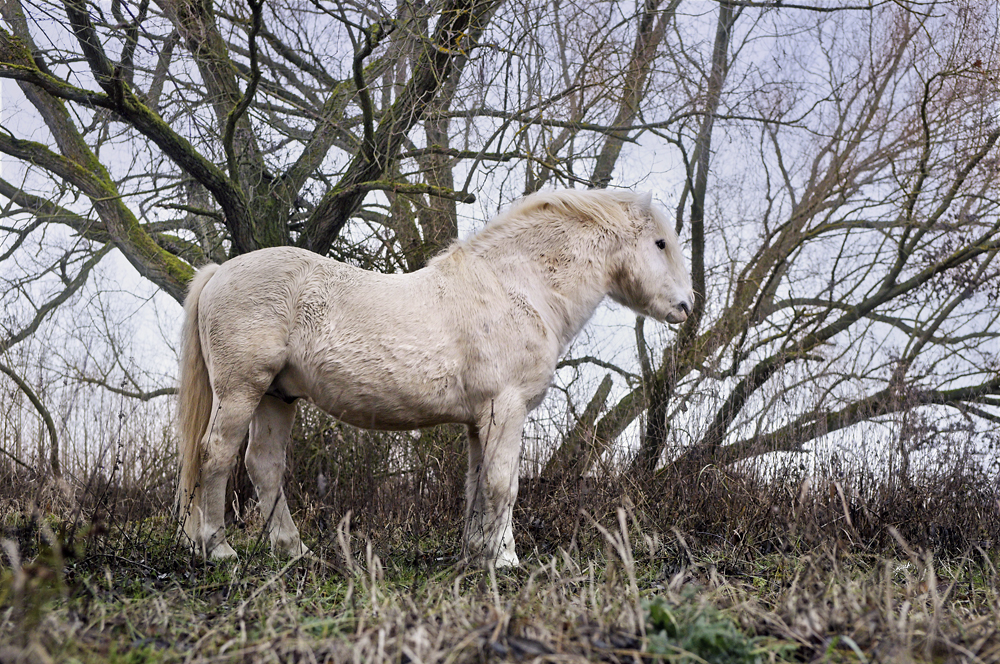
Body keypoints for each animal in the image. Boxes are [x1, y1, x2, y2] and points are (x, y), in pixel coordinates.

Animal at [176, 189, 692, 568]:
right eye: (660, 243)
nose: (687, 306)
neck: (517, 289)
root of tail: (220, 271)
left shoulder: (481, 421)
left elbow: (477, 483)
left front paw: (477, 552)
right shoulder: (507, 410)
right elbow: (504, 484)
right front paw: (505, 559)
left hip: (276, 396)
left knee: (263, 465)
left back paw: (293, 550)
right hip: (241, 390)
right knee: (215, 455)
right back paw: (217, 547)